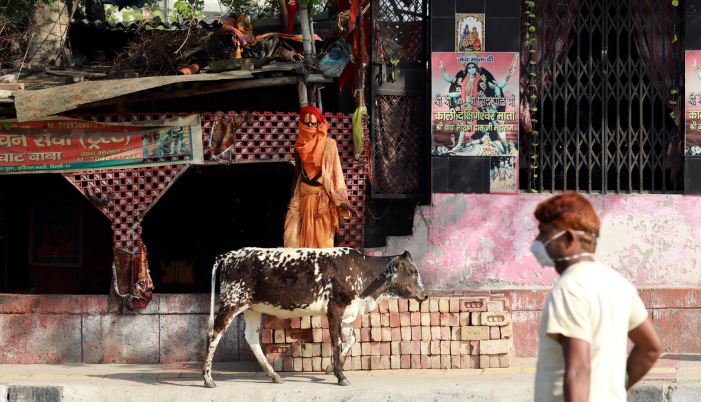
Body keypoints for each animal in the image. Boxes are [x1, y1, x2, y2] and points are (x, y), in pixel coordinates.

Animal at [200, 247, 424, 388]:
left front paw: (330, 368)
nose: (424, 294)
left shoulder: (347, 313)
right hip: (231, 302)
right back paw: (208, 379)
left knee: (251, 338)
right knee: (214, 334)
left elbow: (352, 338)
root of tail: (229, 255)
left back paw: (274, 375)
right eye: (412, 271)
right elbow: (336, 343)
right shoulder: (335, 310)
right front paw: (340, 376)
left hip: (252, 308)